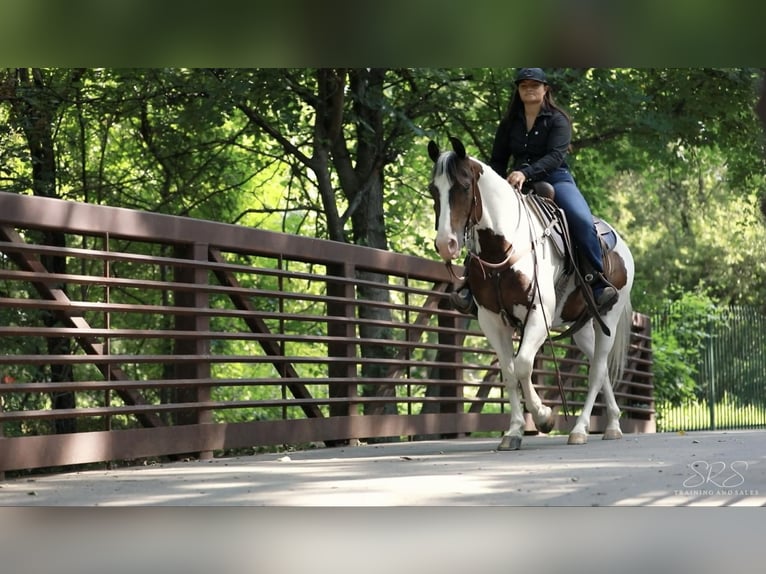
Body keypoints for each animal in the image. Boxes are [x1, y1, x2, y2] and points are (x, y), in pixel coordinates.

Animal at [427, 136, 635, 450]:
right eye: (433, 189)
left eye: (463, 186)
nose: (445, 244)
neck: (504, 247)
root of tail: (621, 243)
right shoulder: (491, 320)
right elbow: (510, 372)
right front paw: (513, 432)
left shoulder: (538, 315)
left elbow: (523, 364)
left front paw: (544, 417)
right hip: (583, 326)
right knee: (601, 370)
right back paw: (612, 424)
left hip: (607, 317)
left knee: (597, 371)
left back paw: (581, 429)